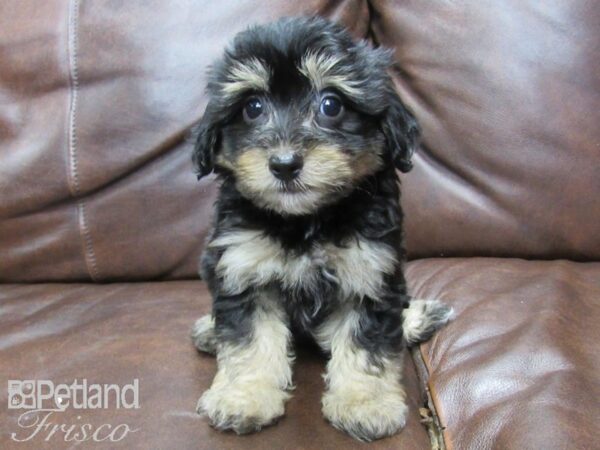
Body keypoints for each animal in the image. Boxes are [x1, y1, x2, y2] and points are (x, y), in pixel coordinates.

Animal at [191, 15, 450, 442]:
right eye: (253, 107)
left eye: (331, 104)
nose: (284, 164)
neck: (305, 221)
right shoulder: (243, 267)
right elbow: (249, 340)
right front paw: (244, 397)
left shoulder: (371, 272)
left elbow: (368, 343)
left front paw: (365, 403)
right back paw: (210, 330)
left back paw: (419, 318)